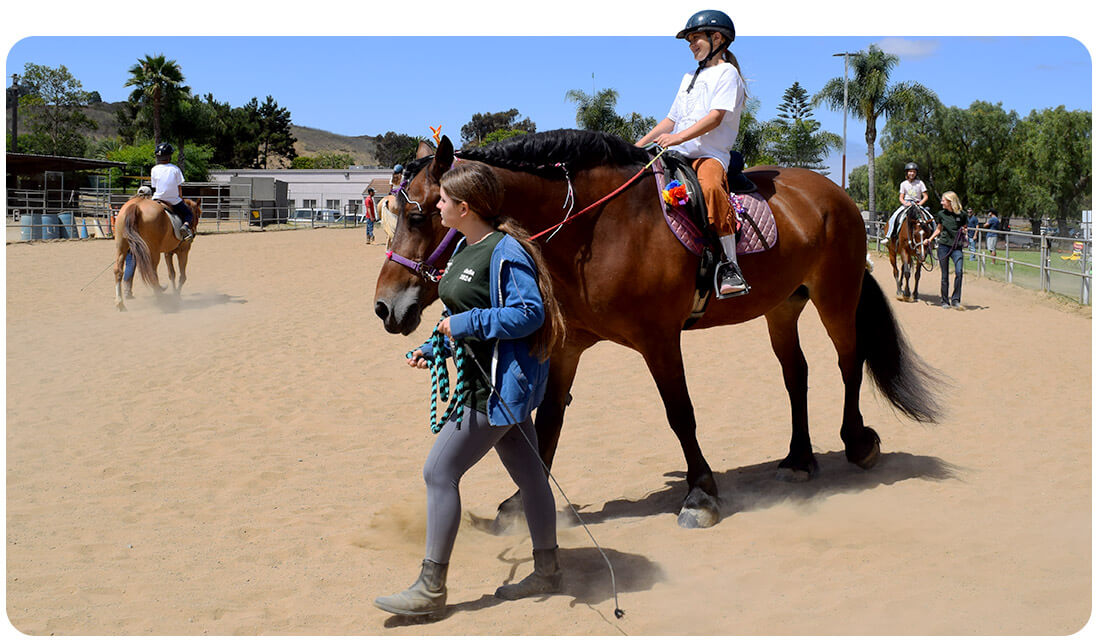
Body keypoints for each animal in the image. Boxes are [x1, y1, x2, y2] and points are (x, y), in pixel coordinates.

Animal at [374, 130, 941, 529]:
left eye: (423, 216)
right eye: (392, 210)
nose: (384, 307)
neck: (595, 229)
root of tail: (837, 195)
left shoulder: (659, 340)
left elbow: (679, 413)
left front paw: (701, 493)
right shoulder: (569, 345)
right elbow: (551, 418)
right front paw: (521, 501)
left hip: (835, 299)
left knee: (850, 362)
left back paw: (858, 443)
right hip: (782, 307)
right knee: (795, 374)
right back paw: (799, 458)